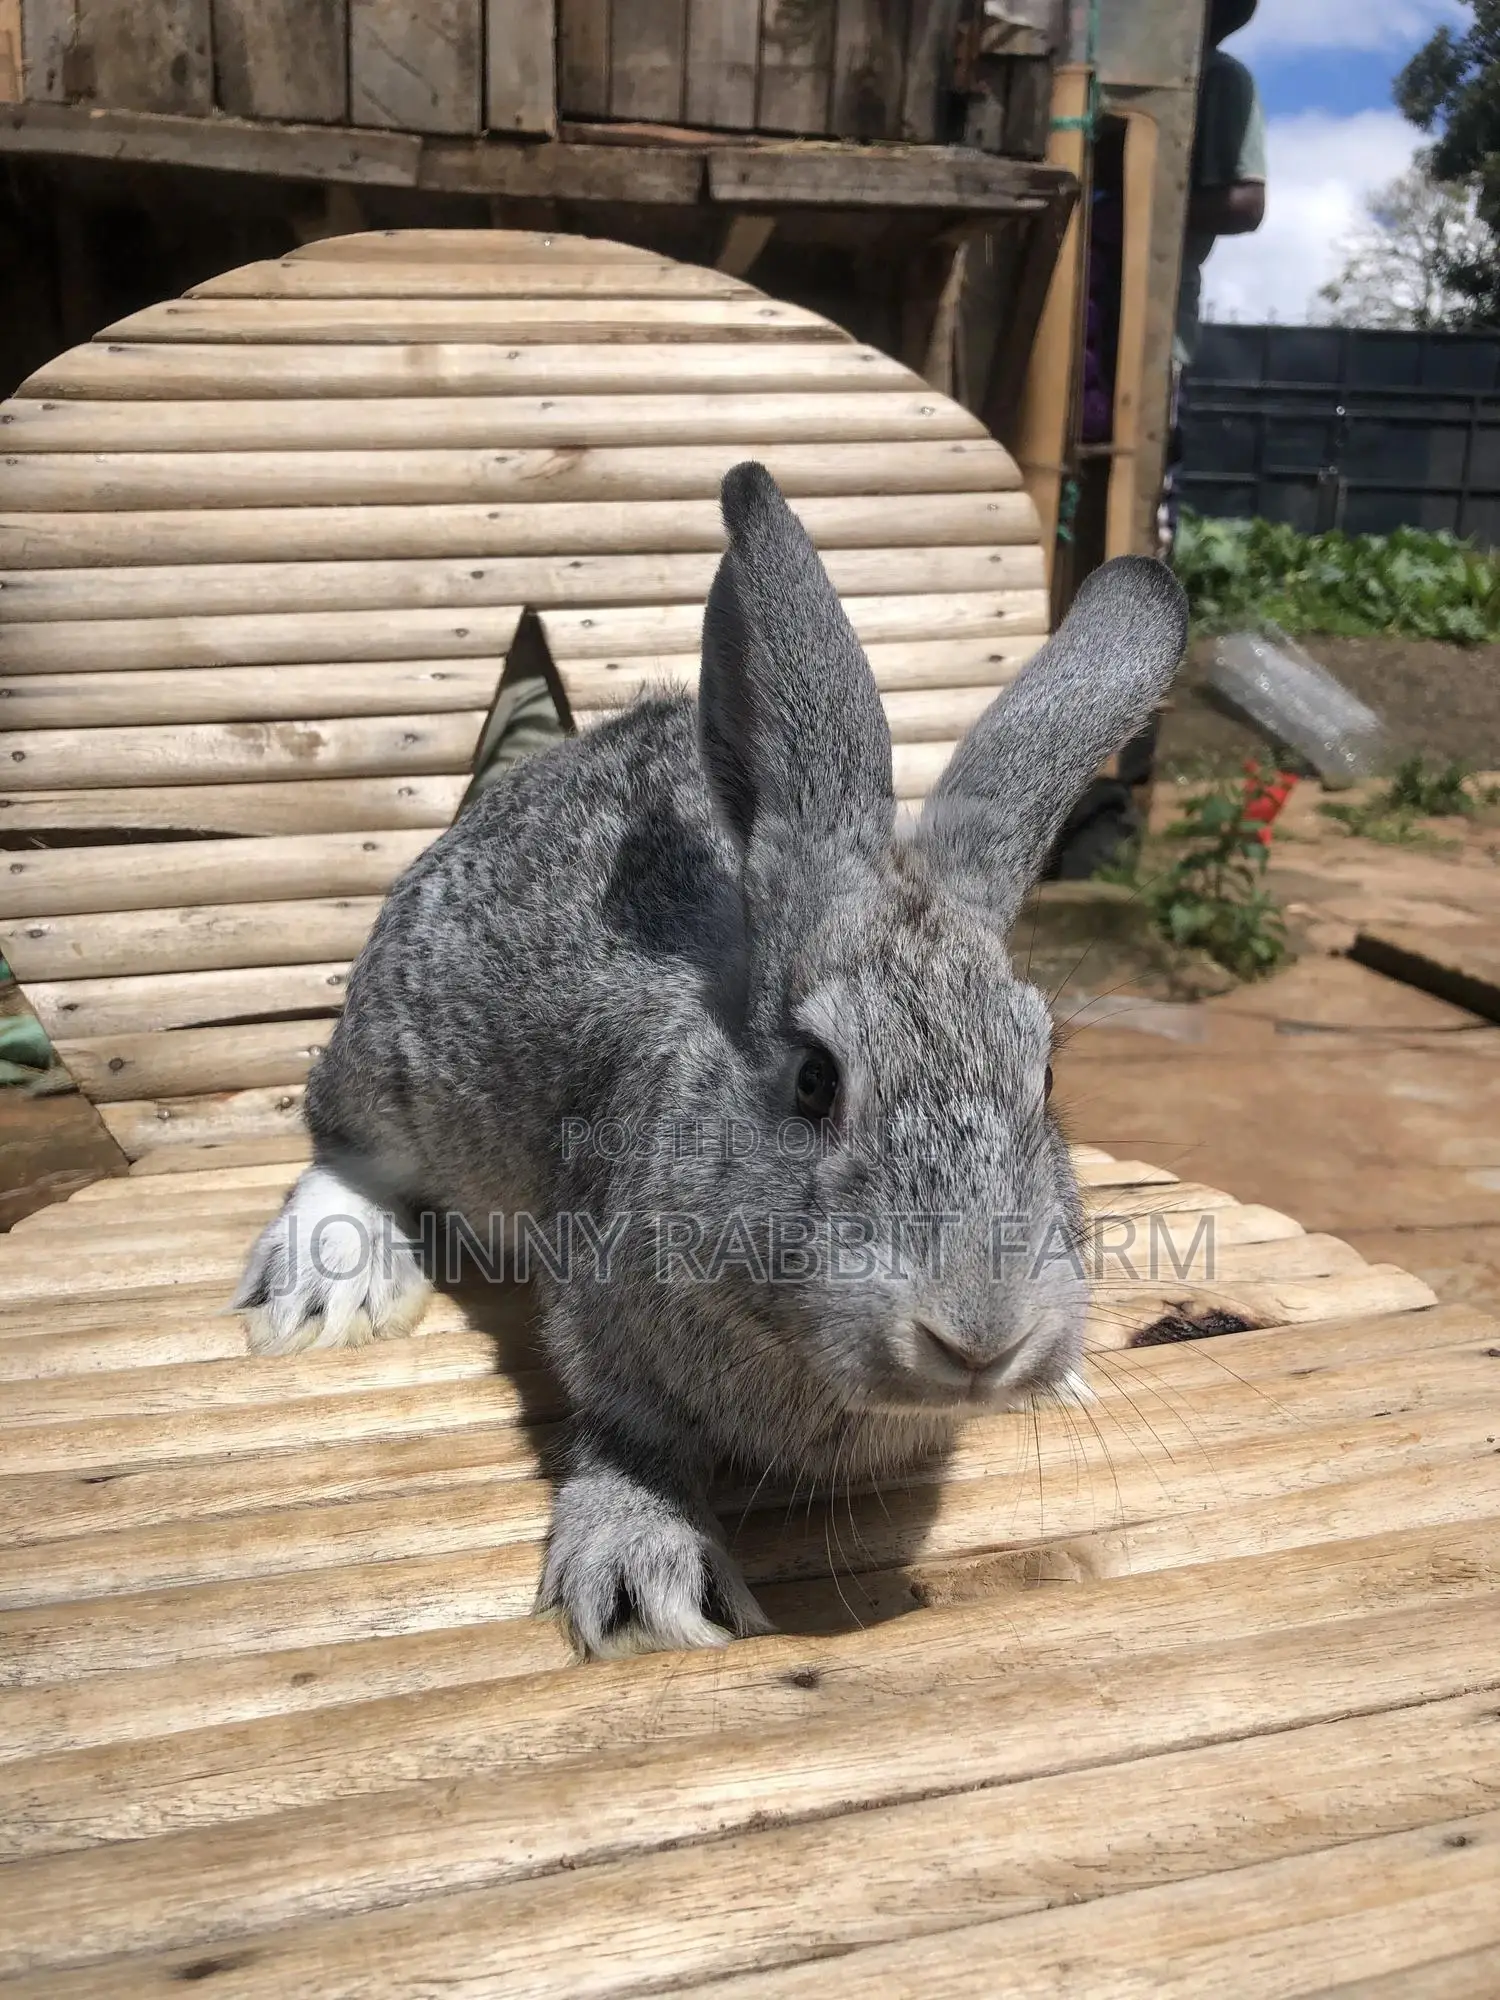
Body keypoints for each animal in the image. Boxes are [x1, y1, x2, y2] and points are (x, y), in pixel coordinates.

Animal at [234, 462, 1187, 1658]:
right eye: (815, 1079)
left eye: (1046, 1075)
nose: (981, 1334)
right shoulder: (601, 1315)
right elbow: (629, 1435)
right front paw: (646, 1575)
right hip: (394, 1061)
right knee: (343, 1148)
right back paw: (331, 1281)